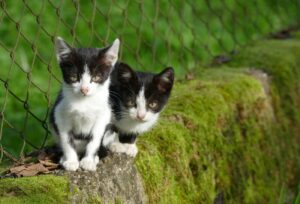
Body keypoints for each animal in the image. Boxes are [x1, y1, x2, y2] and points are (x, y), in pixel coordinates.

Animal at [49, 36, 119, 171]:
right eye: (74, 77)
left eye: (96, 77)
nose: (84, 89)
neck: (84, 102)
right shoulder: (60, 114)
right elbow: (67, 140)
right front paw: (71, 161)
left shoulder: (103, 115)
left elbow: (95, 139)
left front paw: (88, 161)